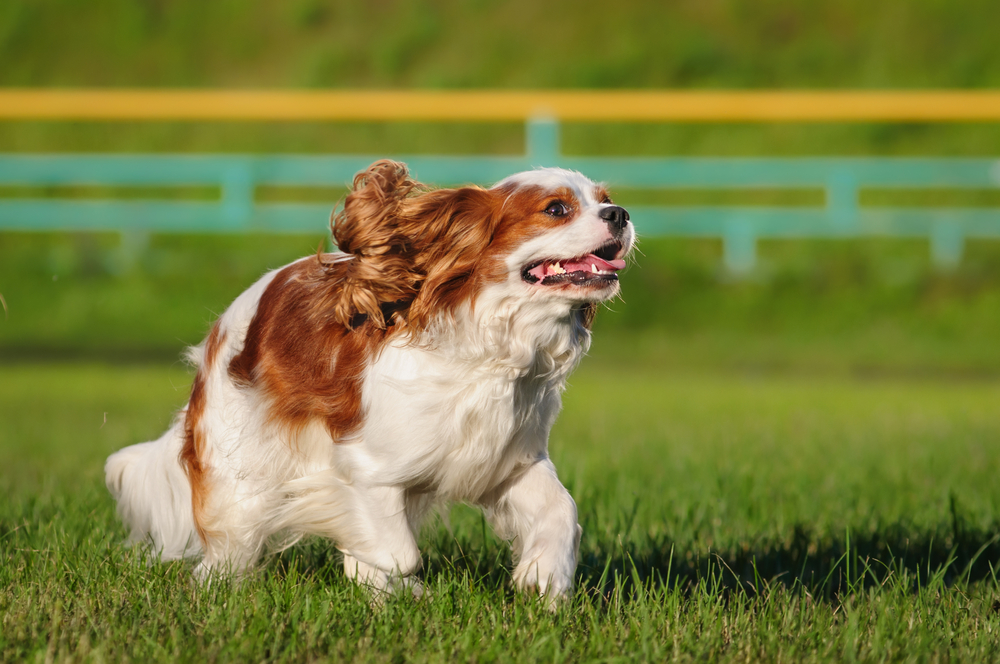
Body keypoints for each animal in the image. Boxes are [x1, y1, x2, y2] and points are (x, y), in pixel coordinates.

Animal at [105, 158, 636, 600]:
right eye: (557, 209)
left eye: (605, 198)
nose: (621, 213)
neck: (490, 348)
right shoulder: (363, 470)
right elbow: (397, 553)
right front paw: (405, 590)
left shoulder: (508, 461)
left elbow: (561, 511)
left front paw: (543, 576)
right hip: (238, 472)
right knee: (227, 547)